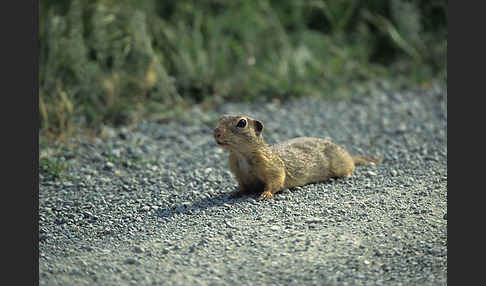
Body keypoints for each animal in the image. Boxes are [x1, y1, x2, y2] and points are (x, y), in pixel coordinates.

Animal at [213, 114, 380, 201]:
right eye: (220, 118)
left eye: (242, 123)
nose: (216, 132)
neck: (239, 154)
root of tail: (349, 155)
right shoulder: (238, 171)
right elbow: (243, 186)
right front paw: (234, 192)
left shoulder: (270, 164)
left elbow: (276, 179)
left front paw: (265, 194)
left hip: (340, 164)